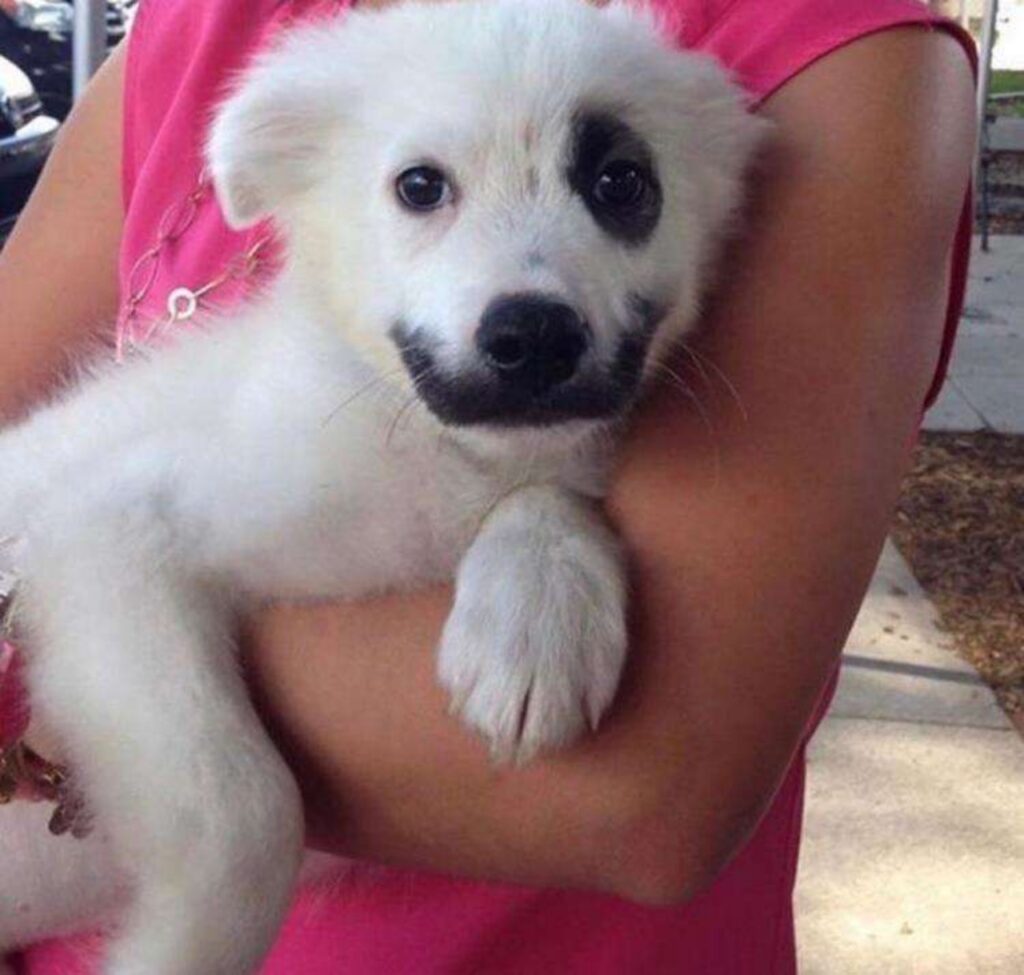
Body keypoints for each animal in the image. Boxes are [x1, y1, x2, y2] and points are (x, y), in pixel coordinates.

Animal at [0, 3, 761, 970]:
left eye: (620, 181)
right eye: (420, 187)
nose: (533, 338)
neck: (430, 455)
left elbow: (551, 498)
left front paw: (534, 618)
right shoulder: (107, 531)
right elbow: (241, 807)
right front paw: (178, 949)